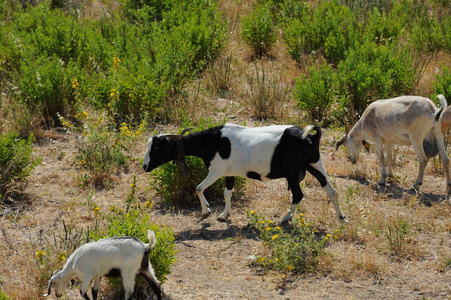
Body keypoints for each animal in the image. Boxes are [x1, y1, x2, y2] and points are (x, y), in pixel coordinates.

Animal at [145, 123, 346, 224]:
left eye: (157, 147)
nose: (145, 166)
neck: (211, 141)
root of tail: (311, 136)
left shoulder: (216, 170)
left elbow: (198, 188)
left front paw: (206, 211)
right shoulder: (229, 171)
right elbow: (227, 192)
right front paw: (224, 215)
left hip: (293, 170)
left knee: (298, 194)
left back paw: (285, 218)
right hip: (314, 163)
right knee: (331, 190)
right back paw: (341, 218)